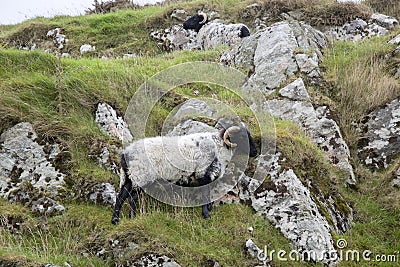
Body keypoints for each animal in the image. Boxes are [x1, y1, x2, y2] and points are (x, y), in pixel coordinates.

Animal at [111, 124, 258, 225]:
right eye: (242, 137)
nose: (255, 152)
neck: (219, 147)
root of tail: (125, 154)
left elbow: (210, 193)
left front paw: (210, 209)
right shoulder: (202, 174)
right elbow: (205, 194)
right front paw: (206, 215)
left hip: (130, 177)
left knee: (121, 196)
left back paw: (115, 220)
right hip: (142, 177)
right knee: (132, 198)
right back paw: (132, 217)